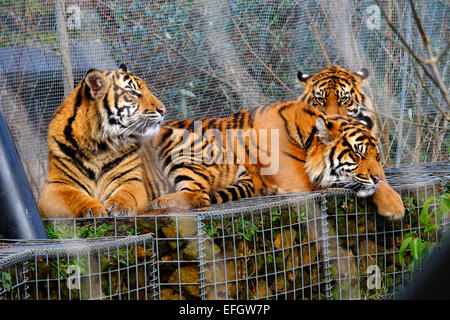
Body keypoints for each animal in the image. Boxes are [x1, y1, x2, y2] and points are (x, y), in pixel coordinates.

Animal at [39, 63, 166, 218]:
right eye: (133, 93)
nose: (163, 110)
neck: (99, 145)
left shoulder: (131, 180)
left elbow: (128, 194)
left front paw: (120, 206)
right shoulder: (56, 185)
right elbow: (74, 197)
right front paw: (93, 207)